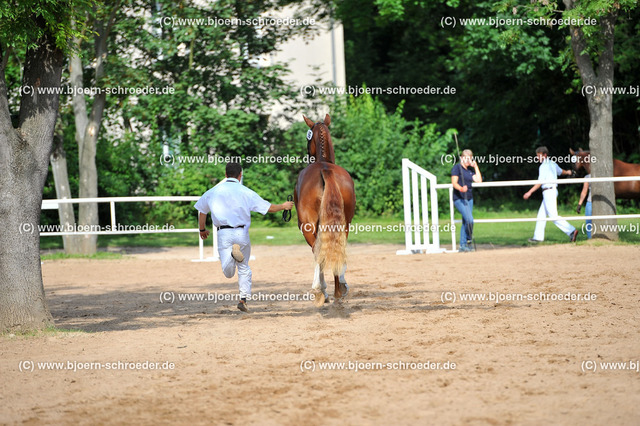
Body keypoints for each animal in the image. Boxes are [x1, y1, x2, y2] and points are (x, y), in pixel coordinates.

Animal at [294, 115, 356, 304]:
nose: (308, 155)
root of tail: (325, 170)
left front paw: (320, 288)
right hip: (344, 224)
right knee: (337, 249)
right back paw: (337, 291)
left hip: (308, 225)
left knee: (318, 250)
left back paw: (322, 291)